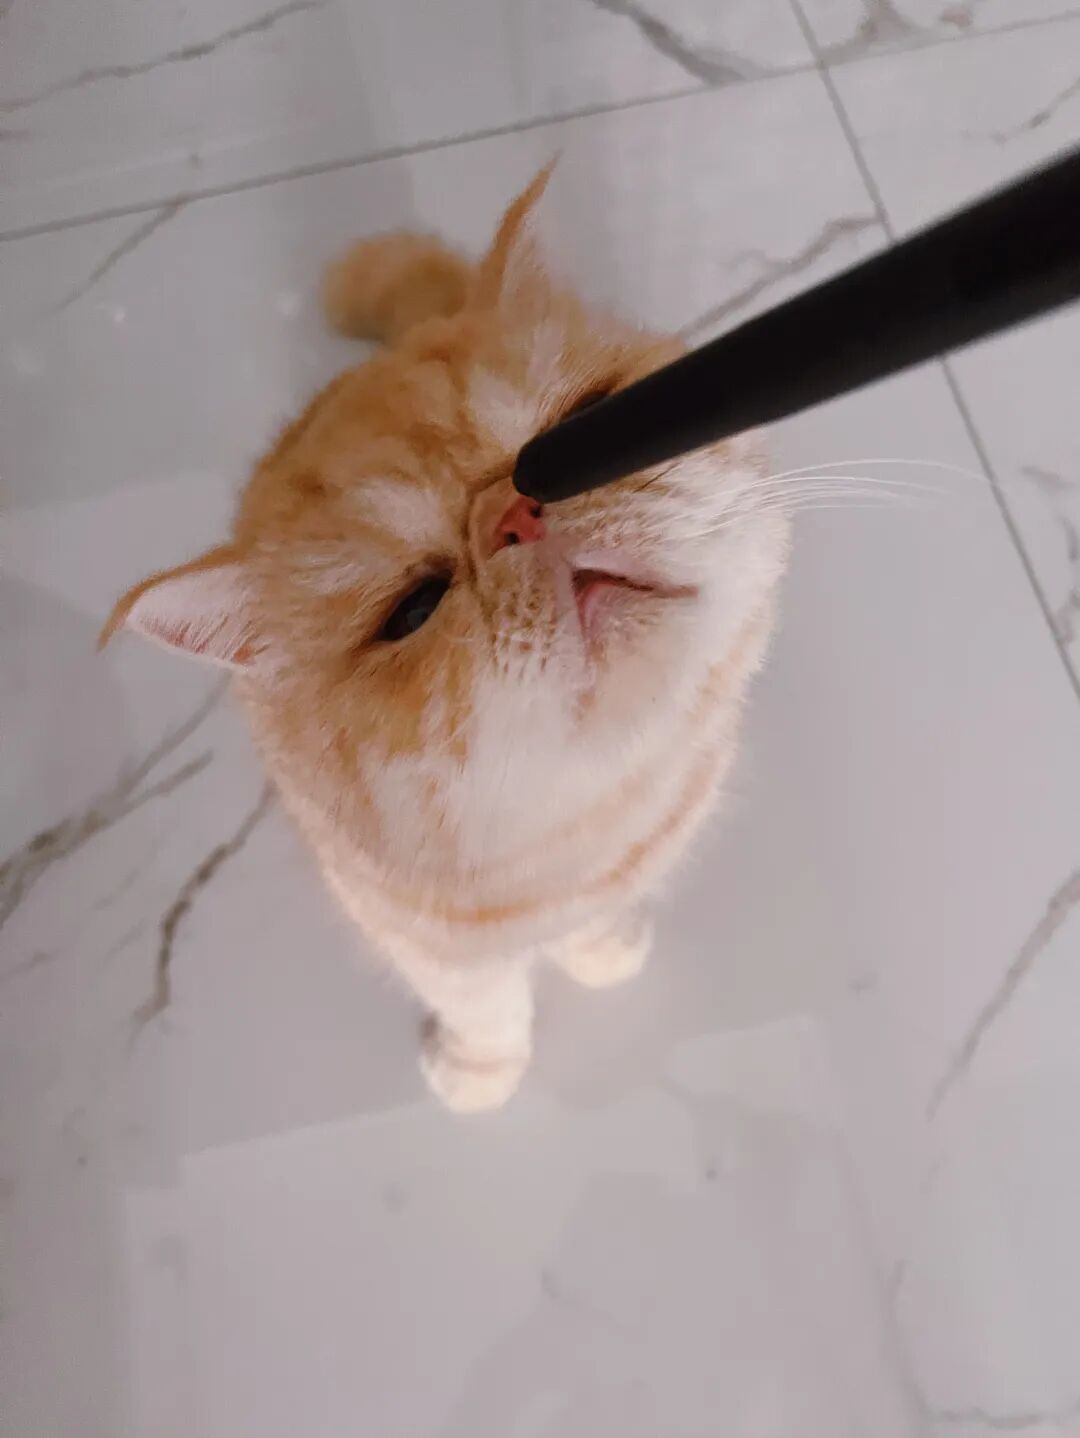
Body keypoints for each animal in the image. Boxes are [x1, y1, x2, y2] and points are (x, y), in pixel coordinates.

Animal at [103, 168, 789, 1112]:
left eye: (582, 424)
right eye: (413, 611)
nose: (516, 514)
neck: (585, 836)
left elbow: (597, 927)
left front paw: (601, 953)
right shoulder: (430, 951)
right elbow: (490, 1011)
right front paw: (480, 1075)